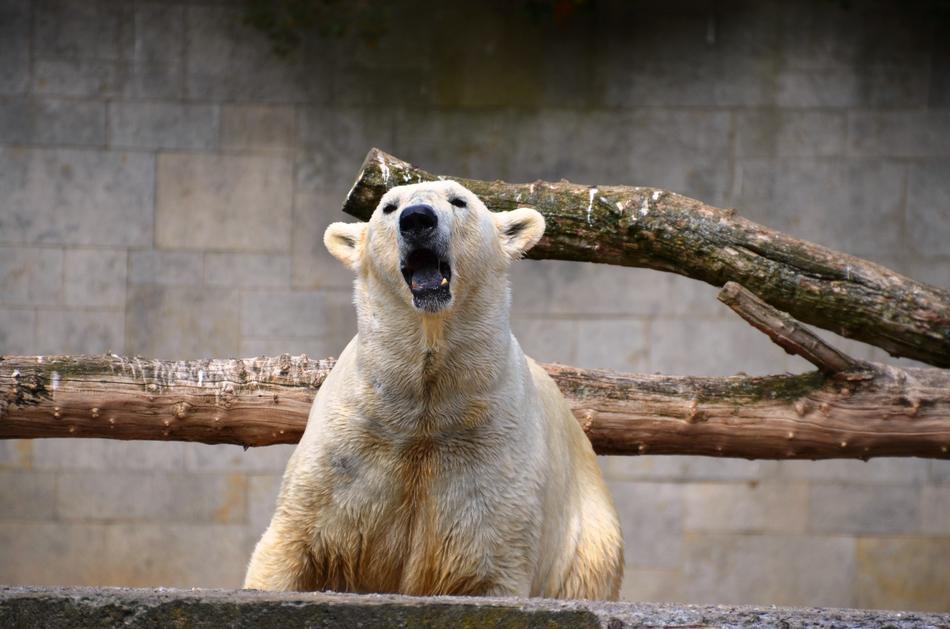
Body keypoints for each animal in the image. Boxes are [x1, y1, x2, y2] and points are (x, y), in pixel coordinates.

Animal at [244, 180, 623, 599]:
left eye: (459, 200)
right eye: (389, 206)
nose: (417, 218)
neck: (427, 399)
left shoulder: (490, 455)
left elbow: (488, 561)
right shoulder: (349, 446)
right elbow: (290, 543)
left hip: (588, 541)